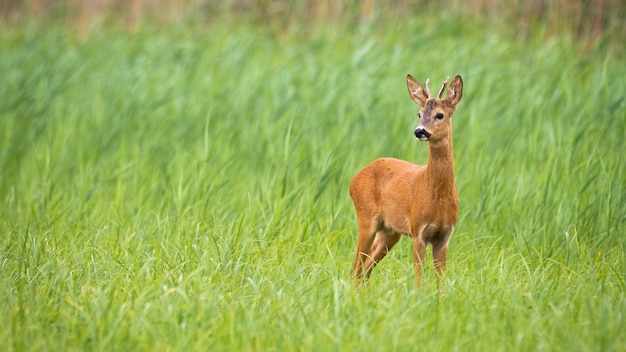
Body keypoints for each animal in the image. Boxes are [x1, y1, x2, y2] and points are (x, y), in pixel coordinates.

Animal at [348, 75, 460, 286]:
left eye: (440, 115)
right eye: (419, 113)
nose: (420, 131)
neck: (438, 196)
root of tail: (353, 180)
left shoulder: (444, 235)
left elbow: (441, 279)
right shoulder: (418, 230)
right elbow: (419, 277)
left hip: (389, 231)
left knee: (366, 268)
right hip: (366, 217)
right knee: (356, 267)